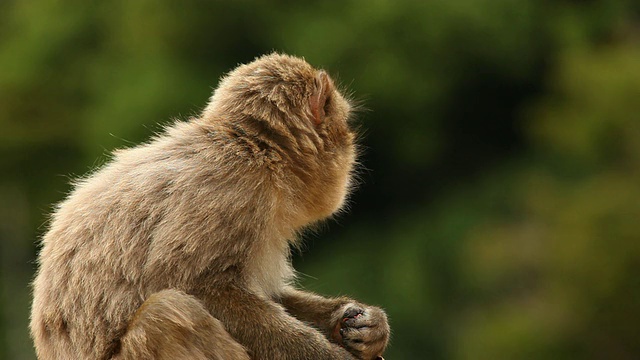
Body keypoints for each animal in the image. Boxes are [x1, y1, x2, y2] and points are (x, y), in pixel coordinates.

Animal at [28, 53, 390, 360]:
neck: (252, 149)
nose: (351, 142)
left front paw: (361, 323)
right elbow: (200, 288)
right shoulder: (234, 191)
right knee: (166, 314)